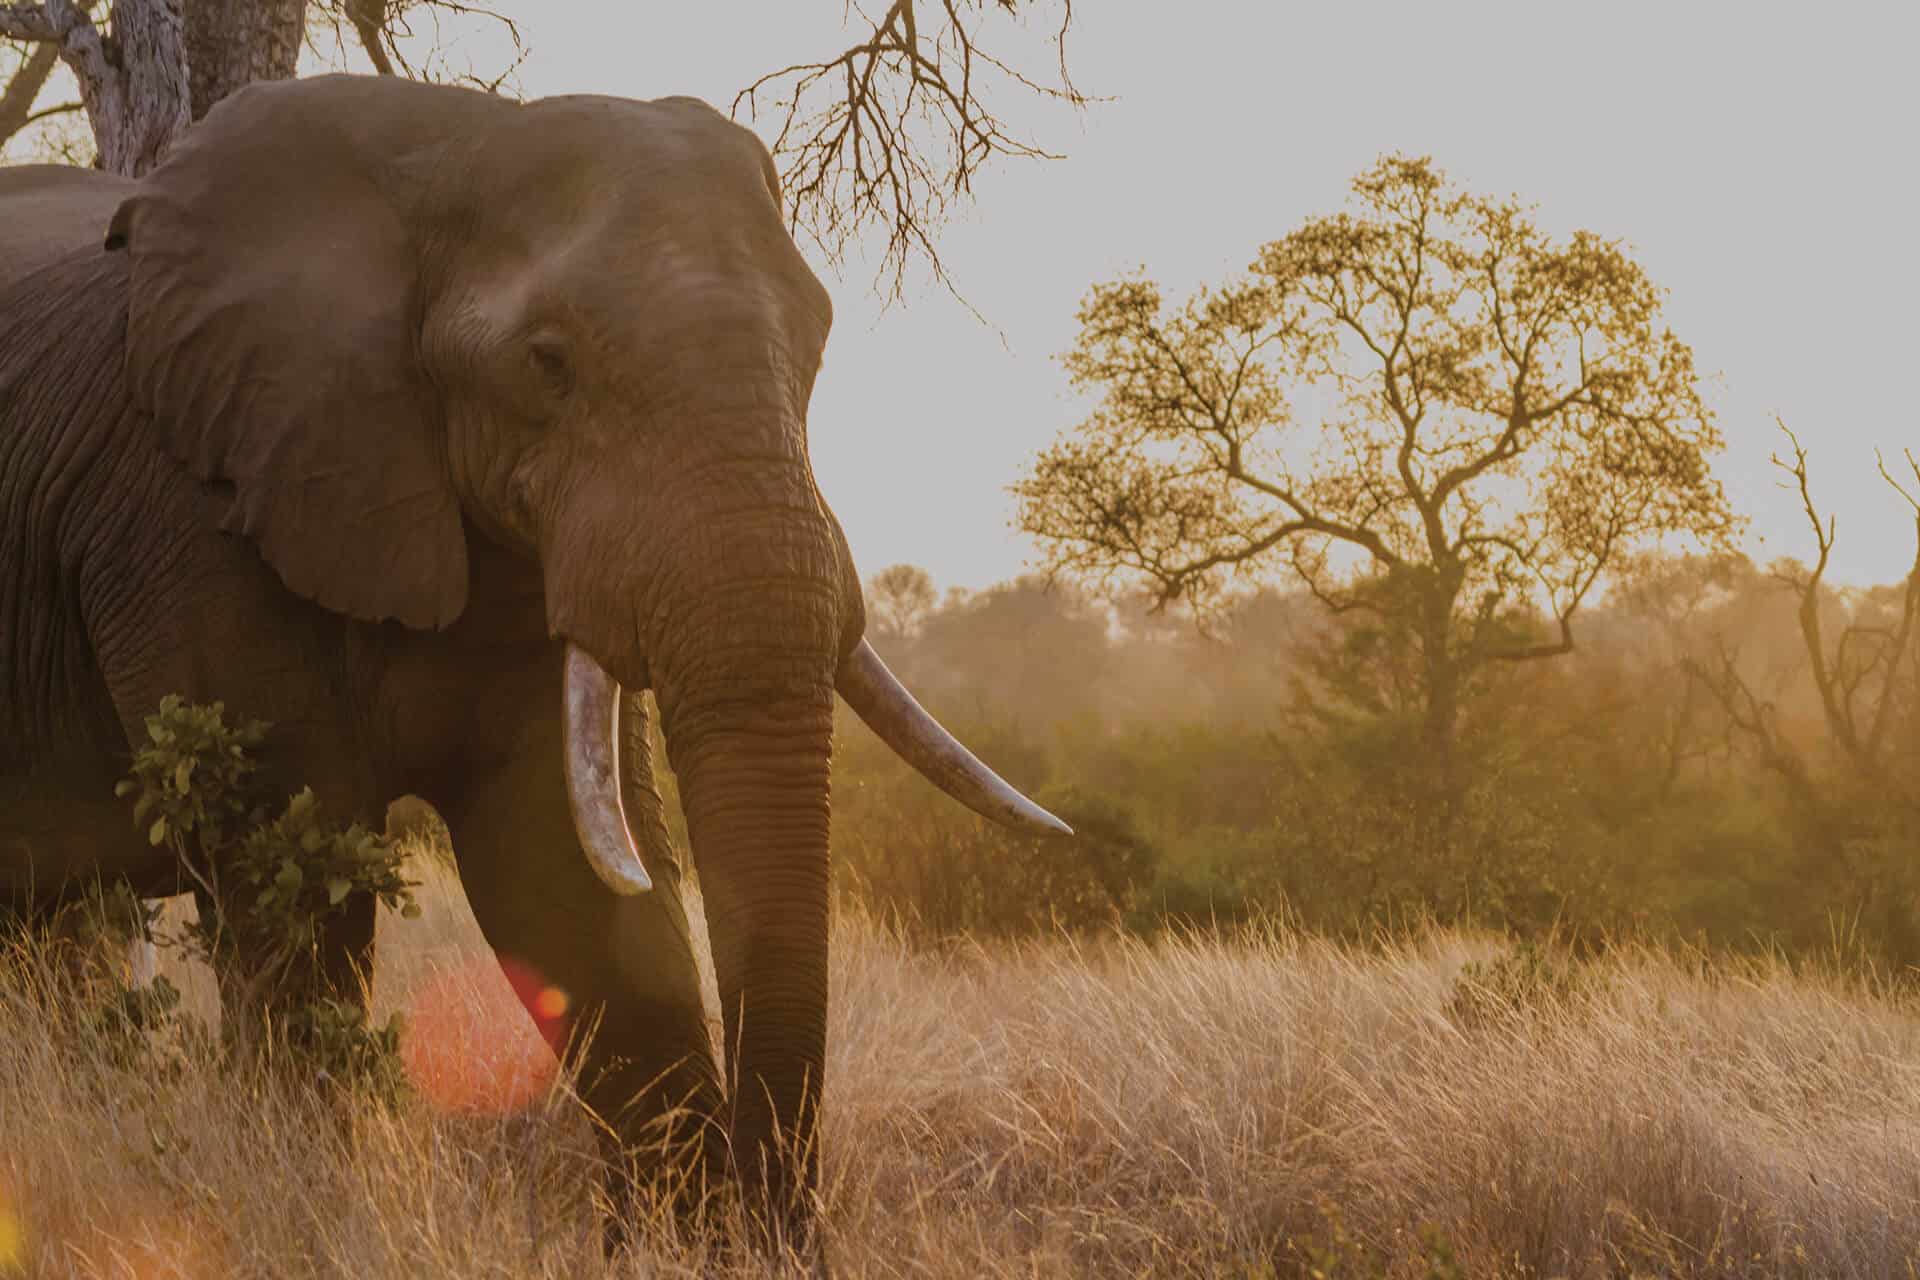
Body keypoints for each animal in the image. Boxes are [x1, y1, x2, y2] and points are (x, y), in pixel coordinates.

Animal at [0, 72, 1067, 1251]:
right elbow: (295, 884)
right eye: (549, 363)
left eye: (821, 343)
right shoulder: (184, 510)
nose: (782, 1231)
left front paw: (682, 1248)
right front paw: (304, 1220)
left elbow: (561, 868)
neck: (442, 145)